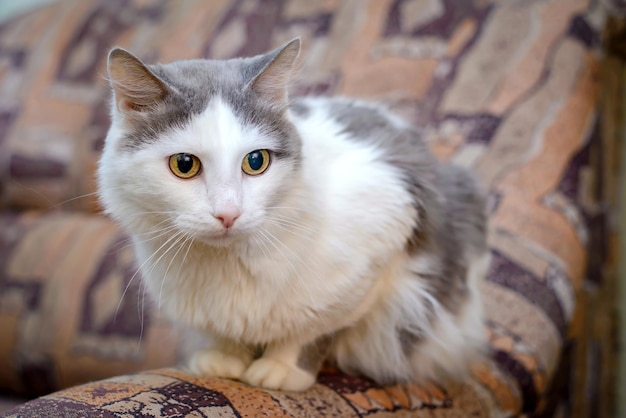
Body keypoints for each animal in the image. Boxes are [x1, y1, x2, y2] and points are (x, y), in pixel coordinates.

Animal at [97, 36, 488, 392]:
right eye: (184, 165)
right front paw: (224, 360)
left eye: (256, 161)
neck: (226, 265)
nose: (228, 214)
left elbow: (311, 331)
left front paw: (283, 369)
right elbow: (223, 331)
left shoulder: (382, 248)